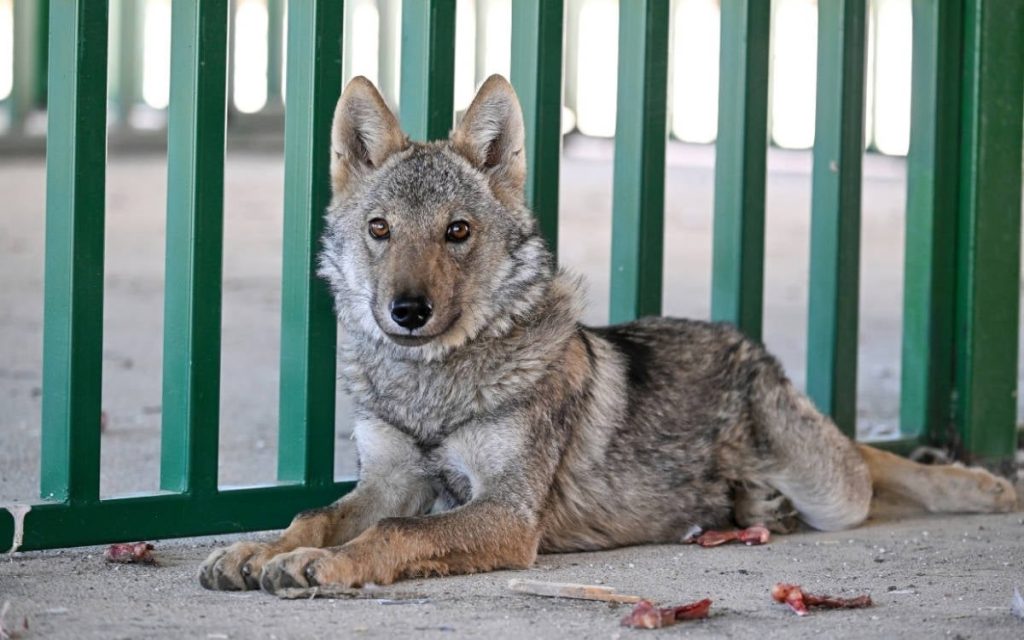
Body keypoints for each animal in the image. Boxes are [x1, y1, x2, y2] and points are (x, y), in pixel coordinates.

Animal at [200, 75, 1017, 593]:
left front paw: (321, 566)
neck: (433, 385)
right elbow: (314, 515)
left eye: (457, 231)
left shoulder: (506, 513)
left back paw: (979, 483)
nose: (406, 311)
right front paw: (256, 550)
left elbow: (395, 534)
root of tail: (745, 341)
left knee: (870, 461)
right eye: (379, 230)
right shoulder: (388, 481)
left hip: (831, 490)